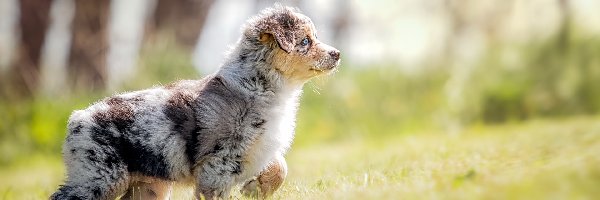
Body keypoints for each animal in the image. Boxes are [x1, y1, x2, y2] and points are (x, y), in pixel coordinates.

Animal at [50, 4, 342, 200]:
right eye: (305, 41)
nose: (337, 53)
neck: (260, 87)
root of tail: (78, 117)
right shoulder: (220, 163)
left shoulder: (259, 148)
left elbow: (281, 167)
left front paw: (255, 188)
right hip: (99, 176)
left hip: (147, 186)